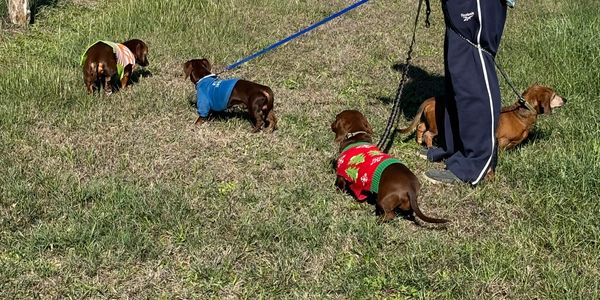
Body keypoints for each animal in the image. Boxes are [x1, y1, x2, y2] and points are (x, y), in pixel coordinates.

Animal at [400, 84, 564, 150]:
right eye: (554, 96)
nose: (566, 99)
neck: (519, 115)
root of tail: (432, 99)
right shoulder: (502, 140)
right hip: (437, 126)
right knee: (428, 134)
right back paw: (429, 147)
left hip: (429, 121)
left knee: (420, 127)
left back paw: (419, 141)